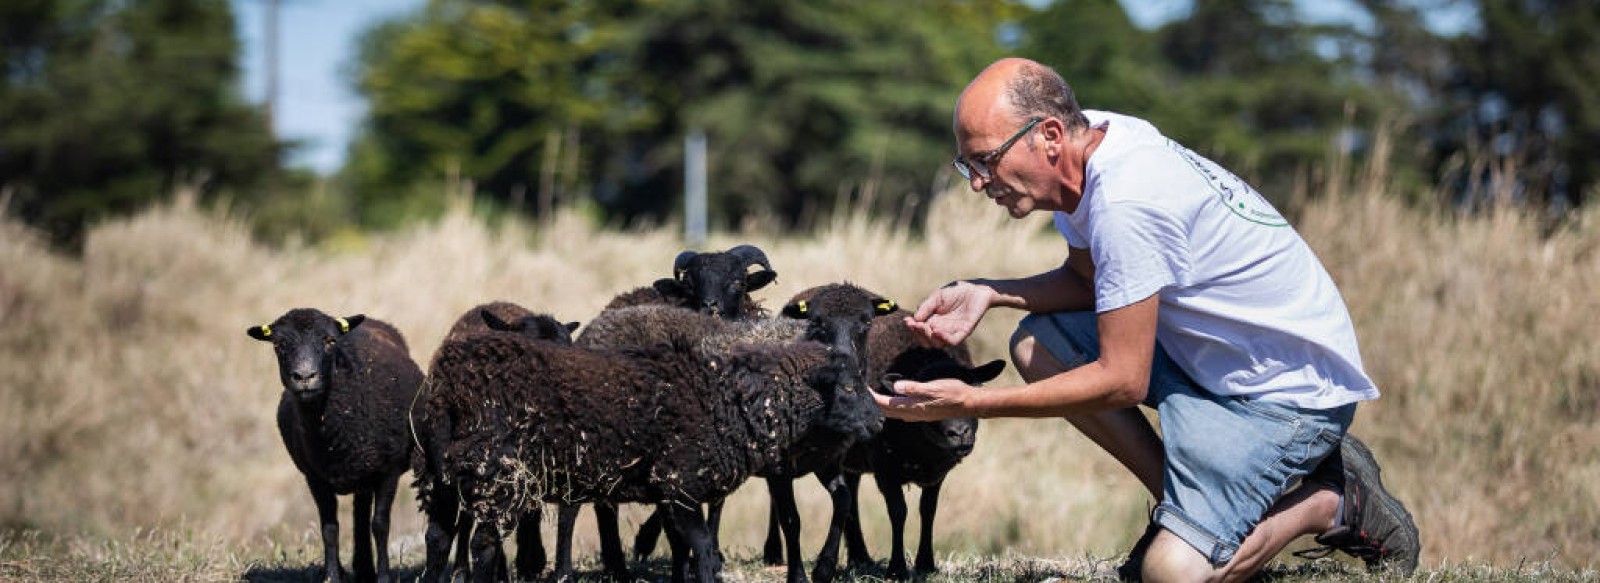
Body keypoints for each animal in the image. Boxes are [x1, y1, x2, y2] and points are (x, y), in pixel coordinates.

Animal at [246, 307, 422, 579]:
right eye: (279, 344)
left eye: (330, 341)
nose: (304, 376)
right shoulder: (315, 476)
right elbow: (329, 528)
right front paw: (331, 576)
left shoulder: (388, 471)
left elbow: (380, 525)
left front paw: (384, 576)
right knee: (359, 513)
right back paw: (360, 567)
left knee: (364, 515)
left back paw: (367, 569)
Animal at [409, 301, 592, 583]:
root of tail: (451, 397)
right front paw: (545, 567)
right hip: (495, 472)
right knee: (484, 538)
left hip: (436, 473)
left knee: (439, 535)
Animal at [425, 305, 883, 583]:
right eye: (846, 387)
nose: (880, 421)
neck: (733, 395)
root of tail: (452, 385)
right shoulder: (681, 485)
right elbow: (701, 547)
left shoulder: (671, 492)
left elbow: (684, 545)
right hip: (499, 476)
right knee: (483, 543)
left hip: (445, 476)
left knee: (440, 538)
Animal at [774, 281, 998, 579]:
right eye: (926, 400)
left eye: (974, 390)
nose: (960, 433)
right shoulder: (884, 467)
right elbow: (898, 512)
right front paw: (897, 568)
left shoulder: (937, 473)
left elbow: (928, 510)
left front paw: (925, 563)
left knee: (850, 496)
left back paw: (860, 557)